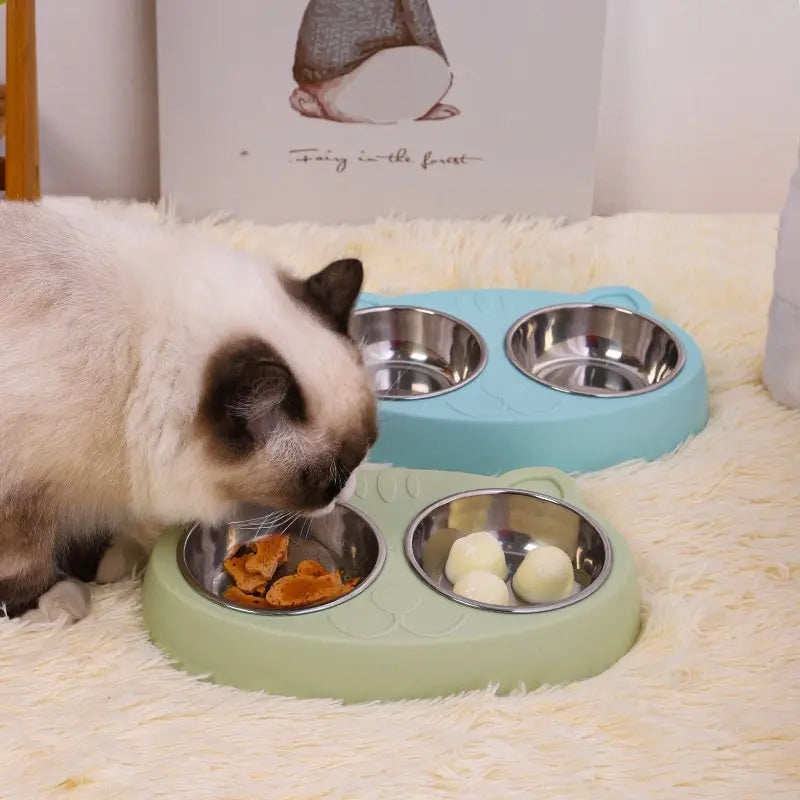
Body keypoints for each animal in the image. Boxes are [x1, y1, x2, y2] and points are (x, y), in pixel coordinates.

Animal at [0, 200, 378, 624]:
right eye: (327, 479)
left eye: (363, 455)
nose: (347, 491)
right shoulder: (22, 491)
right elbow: (25, 562)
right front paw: (54, 603)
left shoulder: (90, 476)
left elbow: (89, 530)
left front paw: (111, 561)